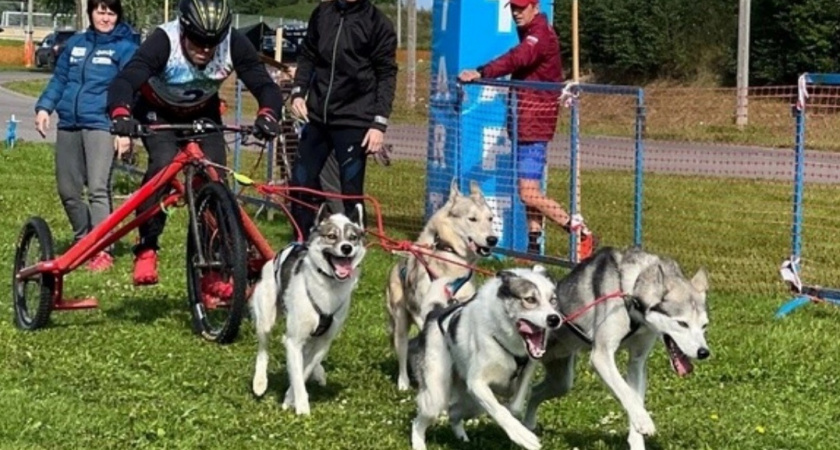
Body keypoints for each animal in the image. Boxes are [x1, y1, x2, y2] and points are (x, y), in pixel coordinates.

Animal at [251, 204, 366, 414]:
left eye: (353, 237)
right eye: (331, 236)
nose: (347, 248)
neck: (329, 285)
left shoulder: (323, 342)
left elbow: (304, 370)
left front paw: (290, 399)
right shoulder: (294, 340)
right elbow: (297, 376)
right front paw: (303, 410)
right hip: (266, 319)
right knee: (263, 351)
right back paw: (260, 382)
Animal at [388, 179, 498, 390]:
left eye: (490, 218)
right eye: (472, 219)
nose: (493, 239)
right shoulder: (425, 312)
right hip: (400, 324)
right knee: (403, 353)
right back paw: (403, 383)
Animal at [410, 268, 560, 450]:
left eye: (553, 301)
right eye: (530, 299)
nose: (554, 319)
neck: (504, 337)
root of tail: (435, 313)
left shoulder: (527, 368)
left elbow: (515, 407)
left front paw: (516, 418)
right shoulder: (477, 384)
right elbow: (499, 411)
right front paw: (522, 436)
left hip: (472, 402)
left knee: (454, 411)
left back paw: (462, 438)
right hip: (437, 395)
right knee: (418, 422)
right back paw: (419, 443)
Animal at [524, 246, 708, 450]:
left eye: (704, 326)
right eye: (682, 323)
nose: (704, 352)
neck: (631, 291)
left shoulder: (637, 362)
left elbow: (635, 398)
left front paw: (637, 436)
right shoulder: (602, 356)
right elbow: (625, 391)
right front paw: (644, 420)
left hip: (561, 381)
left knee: (534, 391)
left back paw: (528, 425)